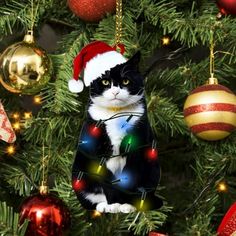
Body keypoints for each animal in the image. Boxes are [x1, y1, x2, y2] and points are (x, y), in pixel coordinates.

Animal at [72, 51, 162, 214]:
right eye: (105, 82)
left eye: (125, 81)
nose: (115, 91)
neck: (116, 114)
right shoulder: (95, 145)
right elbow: (105, 179)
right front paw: (114, 204)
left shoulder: (138, 143)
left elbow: (131, 175)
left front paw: (127, 205)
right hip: (78, 170)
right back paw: (103, 205)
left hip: (153, 167)